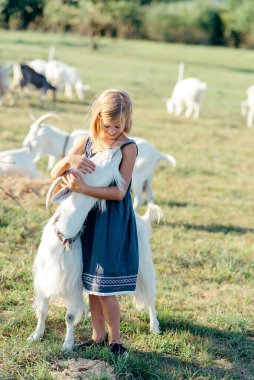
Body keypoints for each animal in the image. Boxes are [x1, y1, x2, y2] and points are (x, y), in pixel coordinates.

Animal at [22, 116, 176, 208]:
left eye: (35, 133)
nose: (25, 144)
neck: (66, 142)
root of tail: (157, 153)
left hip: (138, 178)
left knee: (139, 198)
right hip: (148, 177)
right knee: (150, 195)